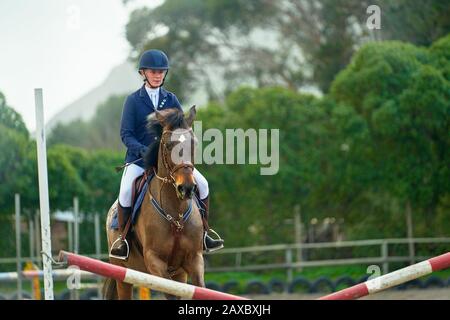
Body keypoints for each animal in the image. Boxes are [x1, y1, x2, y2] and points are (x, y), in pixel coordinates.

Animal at [103, 107, 205, 300]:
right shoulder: (154, 261)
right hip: (123, 275)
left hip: (179, 273)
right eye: (168, 145)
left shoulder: (194, 259)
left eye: (194, 144)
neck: (176, 214)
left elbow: (201, 289)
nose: (187, 188)